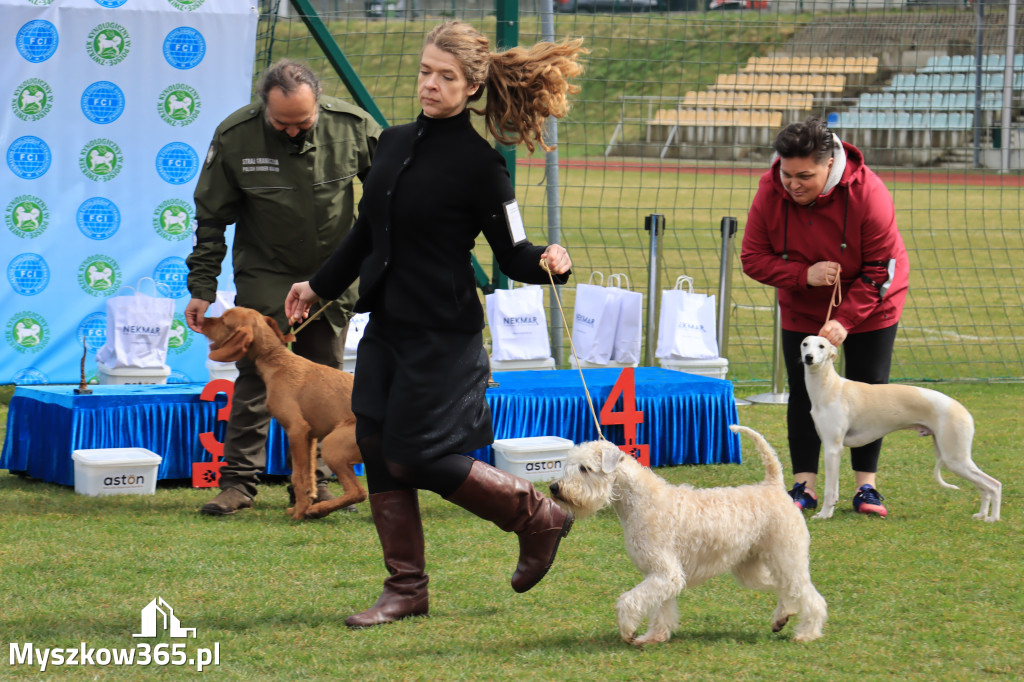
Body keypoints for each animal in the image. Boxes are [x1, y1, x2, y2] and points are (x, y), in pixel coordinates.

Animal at [199, 305, 364, 518]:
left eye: (224, 320)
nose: (201, 320)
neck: (275, 357)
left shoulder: (296, 430)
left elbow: (297, 477)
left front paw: (300, 512)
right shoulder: (309, 437)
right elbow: (309, 478)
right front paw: (303, 505)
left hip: (332, 445)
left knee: (358, 492)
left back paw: (317, 510)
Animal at [548, 428, 827, 647]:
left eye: (585, 468)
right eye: (568, 465)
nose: (554, 487)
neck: (640, 501)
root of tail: (774, 486)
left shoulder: (665, 572)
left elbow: (628, 601)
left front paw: (628, 630)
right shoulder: (659, 575)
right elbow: (660, 607)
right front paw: (654, 636)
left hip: (787, 556)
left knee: (809, 595)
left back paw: (807, 633)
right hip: (751, 568)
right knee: (783, 587)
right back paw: (782, 617)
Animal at [798, 333, 999, 520]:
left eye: (822, 346)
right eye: (805, 344)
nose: (809, 357)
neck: (829, 387)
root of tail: (963, 410)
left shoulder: (833, 449)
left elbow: (830, 490)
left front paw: (825, 514)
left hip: (955, 458)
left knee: (994, 485)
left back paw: (993, 518)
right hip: (953, 457)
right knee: (984, 488)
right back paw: (982, 515)